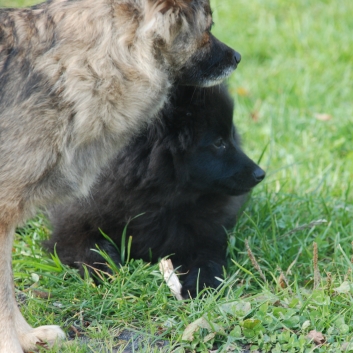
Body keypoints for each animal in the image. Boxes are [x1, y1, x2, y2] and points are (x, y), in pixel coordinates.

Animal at [44, 85, 264, 296]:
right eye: (218, 142)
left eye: (232, 136)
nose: (260, 173)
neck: (158, 202)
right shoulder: (71, 229)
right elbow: (92, 248)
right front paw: (107, 271)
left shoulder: (206, 237)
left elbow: (208, 261)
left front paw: (202, 286)